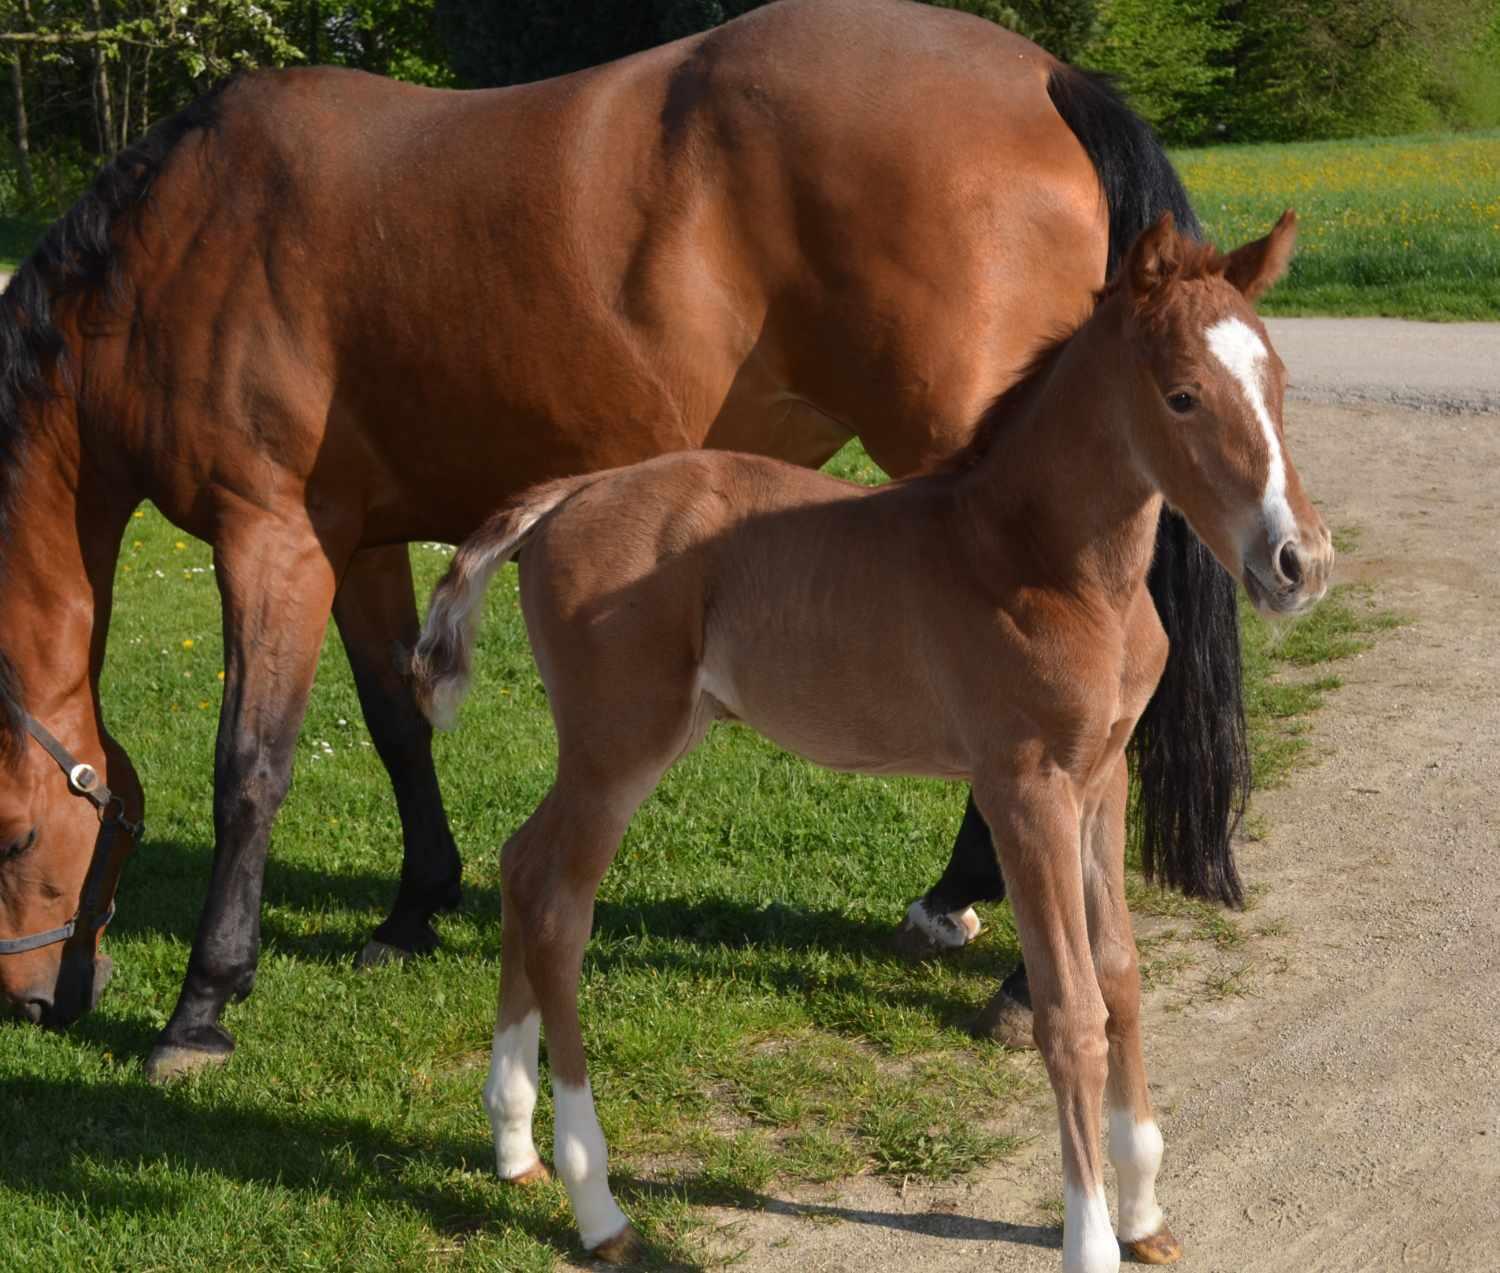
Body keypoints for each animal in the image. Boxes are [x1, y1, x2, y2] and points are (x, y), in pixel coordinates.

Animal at [0, 0, 1246, 1081]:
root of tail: (1042, 77)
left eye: (11, 839)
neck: (182, 243)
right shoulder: (353, 542)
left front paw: (202, 1004)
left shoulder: (268, 535)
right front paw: (414, 907)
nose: (35, 1005)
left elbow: (249, 767)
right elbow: (400, 724)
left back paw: (1016, 973)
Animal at [408, 211, 1327, 1273]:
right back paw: (596, 1205)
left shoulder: (1103, 777)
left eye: (1281, 379)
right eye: (1181, 395)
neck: (1041, 562)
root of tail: (565, 494)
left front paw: (1144, 1213)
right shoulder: (1023, 787)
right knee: (559, 905)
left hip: (626, 743)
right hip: (618, 746)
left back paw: (513, 1141)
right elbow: (1071, 1011)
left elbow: (1124, 979)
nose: (1298, 563)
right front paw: (1093, 1237)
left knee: (520, 863)